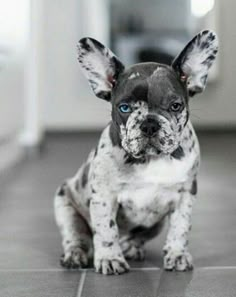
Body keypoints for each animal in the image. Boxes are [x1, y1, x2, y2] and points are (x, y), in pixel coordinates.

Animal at [54, 29, 218, 272]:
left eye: (175, 106)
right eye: (124, 107)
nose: (149, 124)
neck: (152, 159)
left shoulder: (185, 194)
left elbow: (180, 227)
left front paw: (177, 254)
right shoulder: (104, 196)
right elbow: (106, 229)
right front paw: (110, 258)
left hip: (155, 225)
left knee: (137, 236)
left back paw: (131, 247)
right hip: (65, 205)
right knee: (77, 236)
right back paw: (76, 254)